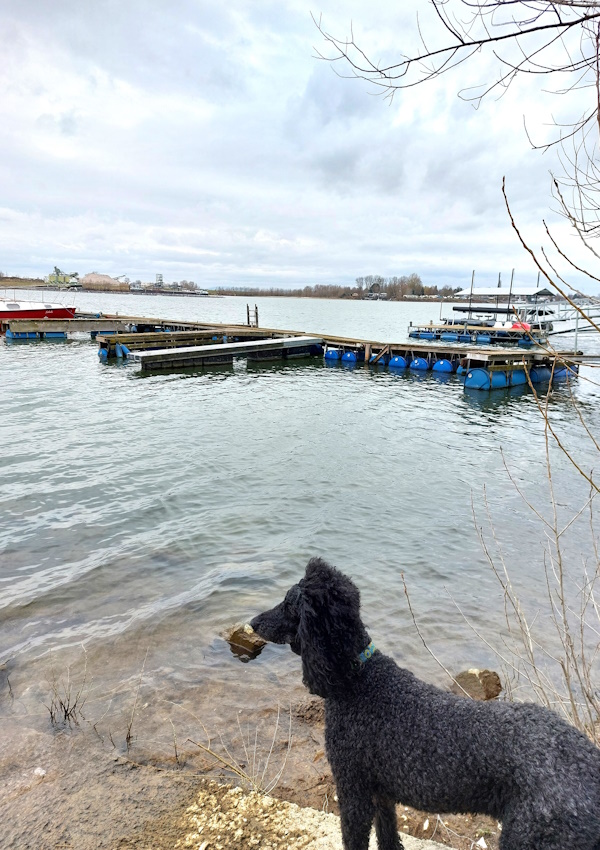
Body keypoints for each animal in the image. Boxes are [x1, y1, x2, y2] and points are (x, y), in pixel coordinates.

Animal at [250, 556, 600, 848]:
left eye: (288, 604)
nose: (253, 622)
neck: (357, 679)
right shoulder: (381, 794)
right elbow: (389, 836)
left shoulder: (353, 790)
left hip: (532, 834)